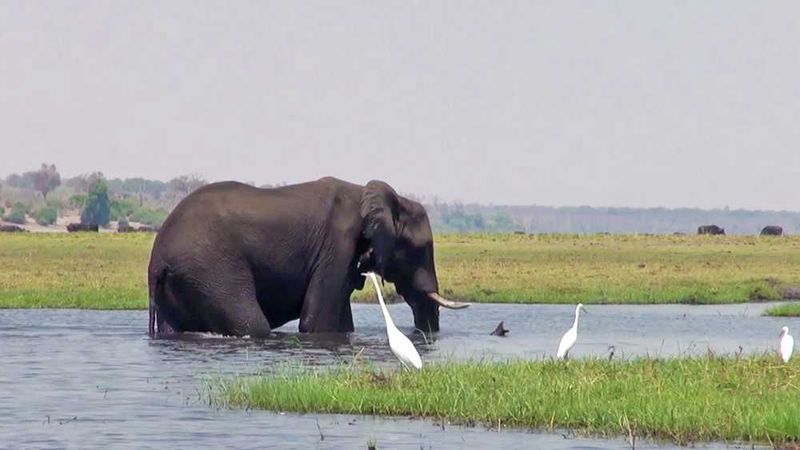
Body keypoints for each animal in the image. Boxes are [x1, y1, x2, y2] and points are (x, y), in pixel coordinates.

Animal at [147, 177, 469, 337]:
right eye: (422, 248)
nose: (422, 335)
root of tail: (156, 261)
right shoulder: (338, 243)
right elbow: (316, 320)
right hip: (209, 268)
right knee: (254, 325)